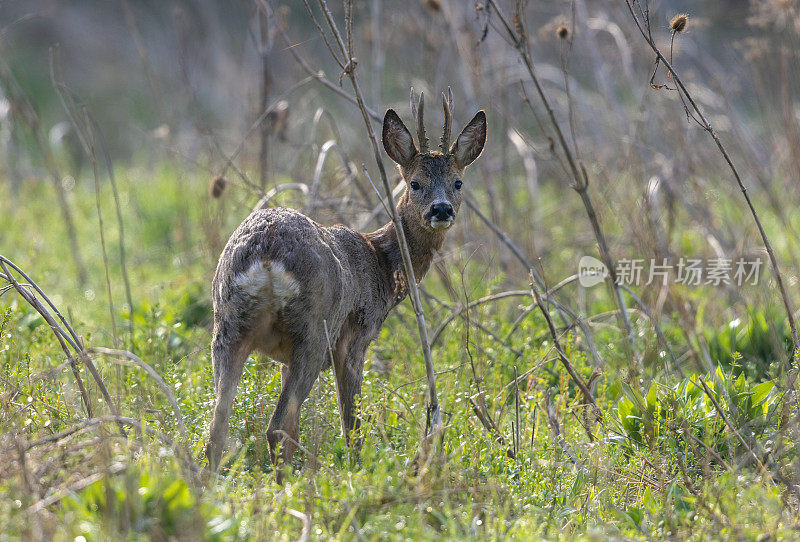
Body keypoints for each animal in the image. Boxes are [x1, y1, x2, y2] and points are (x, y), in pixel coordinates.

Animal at [205, 92, 488, 472]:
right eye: (415, 183)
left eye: (458, 182)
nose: (441, 209)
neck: (381, 262)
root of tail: (266, 252)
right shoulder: (356, 338)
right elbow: (350, 423)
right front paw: (357, 468)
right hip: (313, 329)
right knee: (277, 426)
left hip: (227, 325)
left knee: (219, 424)